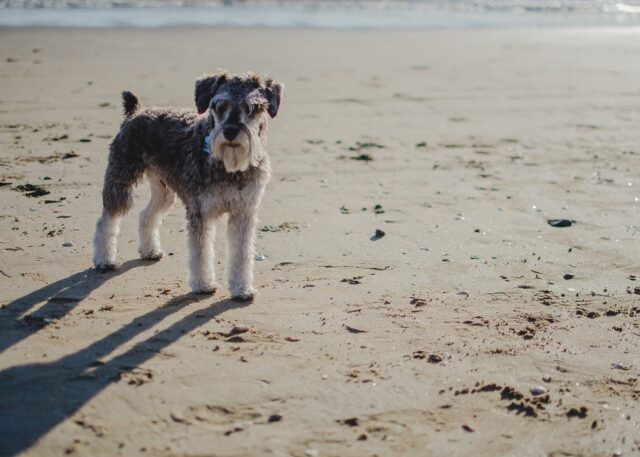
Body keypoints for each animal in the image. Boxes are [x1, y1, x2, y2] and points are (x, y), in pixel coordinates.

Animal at [92, 71, 284, 300]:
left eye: (252, 108)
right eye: (219, 106)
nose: (230, 132)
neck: (229, 166)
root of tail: (135, 112)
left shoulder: (244, 213)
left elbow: (242, 253)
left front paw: (242, 289)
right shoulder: (200, 211)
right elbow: (200, 252)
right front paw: (203, 284)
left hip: (164, 191)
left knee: (146, 215)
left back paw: (150, 250)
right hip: (120, 180)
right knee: (107, 219)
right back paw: (104, 260)